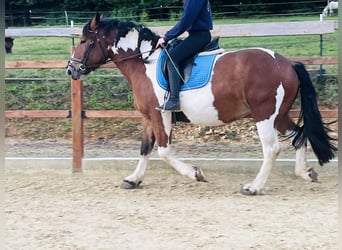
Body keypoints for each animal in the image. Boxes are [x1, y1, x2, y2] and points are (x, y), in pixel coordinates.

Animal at [67, 14, 336, 195]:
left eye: (84, 41)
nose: (71, 69)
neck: (145, 63)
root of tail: (288, 63)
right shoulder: (148, 117)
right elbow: (145, 148)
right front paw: (133, 179)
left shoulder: (161, 115)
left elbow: (164, 151)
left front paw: (195, 173)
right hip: (278, 115)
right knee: (298, 135)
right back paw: (305, 172)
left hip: (264, 115)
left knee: (272, 149)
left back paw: (253, 187)